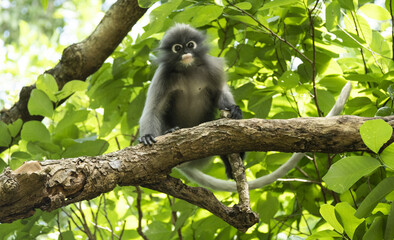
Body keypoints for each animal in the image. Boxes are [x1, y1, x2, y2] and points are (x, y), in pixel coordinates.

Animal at [139, 23, 243, 180]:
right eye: (177, 48)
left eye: (190, 44)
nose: (186, 52)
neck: (188, 69)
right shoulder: (162, 75)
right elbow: (153, 110)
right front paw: (147, 136)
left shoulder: (213, 68)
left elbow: (220, 92)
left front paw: (234, 109)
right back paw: (172, 130)